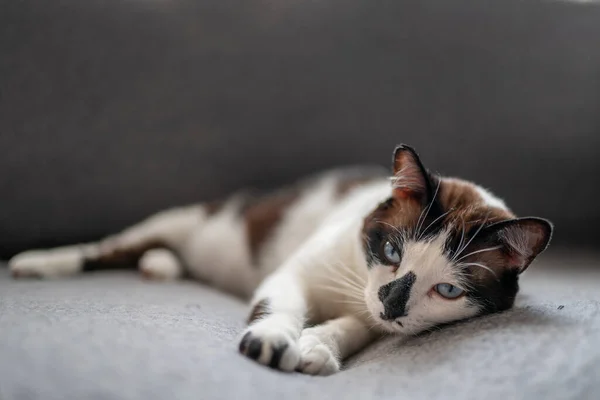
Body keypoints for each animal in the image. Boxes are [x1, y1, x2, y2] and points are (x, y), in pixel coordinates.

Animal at [8, 145, 552, 376]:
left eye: (449, 290)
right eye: (392, 251)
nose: (392, 303)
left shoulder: (371, 318)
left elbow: (355, 327)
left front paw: (318, 348)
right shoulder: (295, 272)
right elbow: (283, 304)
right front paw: (274, 340)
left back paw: (159, 266)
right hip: (184, 219)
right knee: (107, 248)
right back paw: (37, 262)